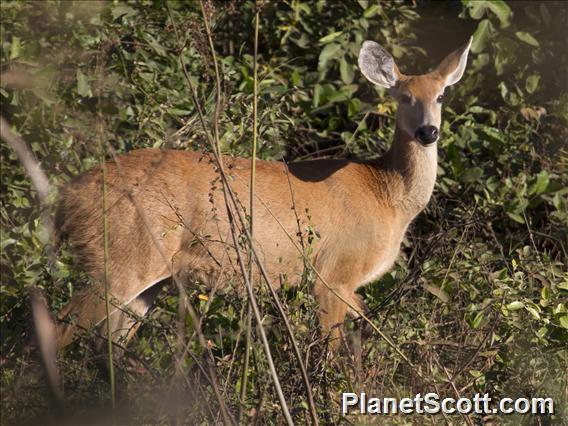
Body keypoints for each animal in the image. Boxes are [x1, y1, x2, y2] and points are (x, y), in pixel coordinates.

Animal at [54, 36, 470, 352]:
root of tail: (68, 198)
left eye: (440, 97)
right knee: (59, 327)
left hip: (143, 282)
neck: (387, 194)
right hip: (119, 260)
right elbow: (336, 355)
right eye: (404, 97)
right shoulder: (332, 274)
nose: (428, 132)